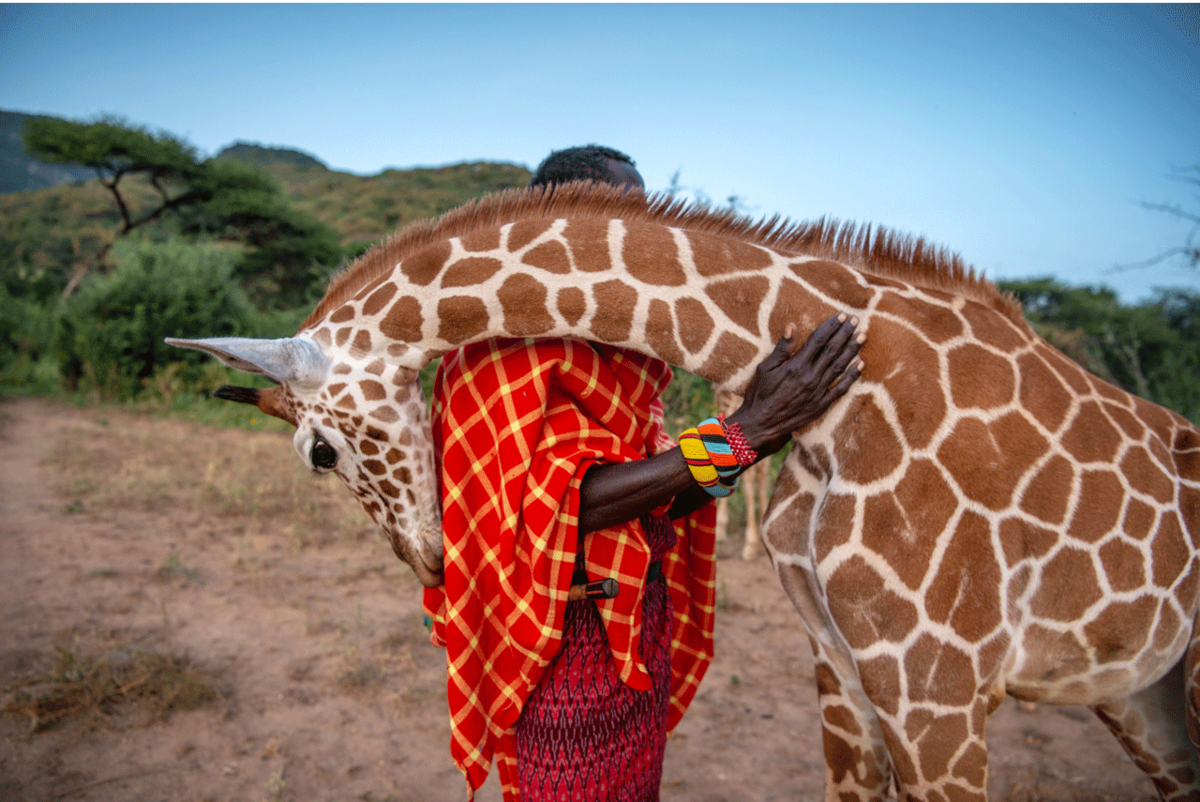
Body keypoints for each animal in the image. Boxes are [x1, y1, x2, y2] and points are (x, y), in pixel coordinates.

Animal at [168, 183, 1200, 801]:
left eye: (317, 453)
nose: (427, 561)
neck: (858, 389)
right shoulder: (846, 667)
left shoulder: (940, 685)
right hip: (1143, 692)